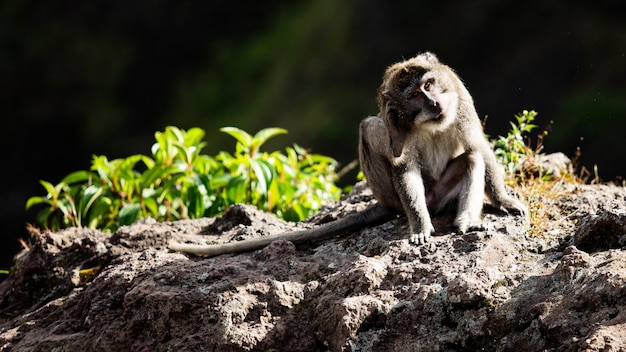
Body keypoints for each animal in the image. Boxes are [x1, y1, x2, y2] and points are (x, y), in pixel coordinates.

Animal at [168, 51, 524, 256]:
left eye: (430, 84)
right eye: (414, 95)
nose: (435, 103)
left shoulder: (460, 98)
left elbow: (478, 147)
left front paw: (504, 200)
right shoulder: (399, 125)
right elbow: (403, 164)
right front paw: (421, 227)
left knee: (471, 160)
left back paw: (466, 222)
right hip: (397, 195)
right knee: (371, 126)